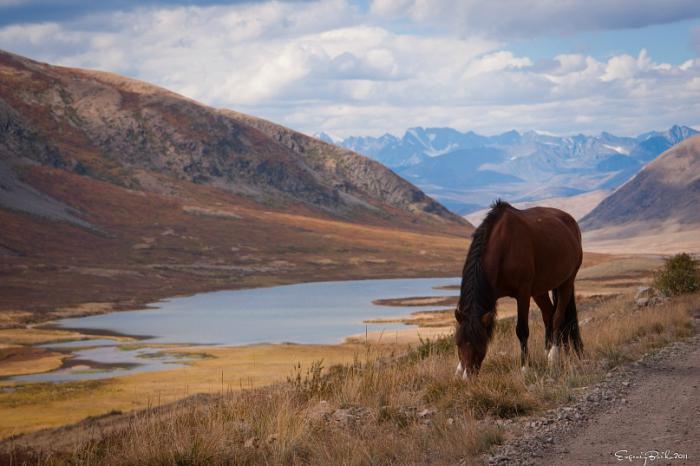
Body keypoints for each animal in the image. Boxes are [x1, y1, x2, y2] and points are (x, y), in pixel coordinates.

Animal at [452, 200, 584, 378]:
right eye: (458, 344)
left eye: (481, 344)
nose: (468, 377)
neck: (504, 246)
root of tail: (571, 223)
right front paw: (458, 369)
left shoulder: (523, 293)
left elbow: (521, 330)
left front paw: (525, 367)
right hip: (540, 290)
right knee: (548, 315)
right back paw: (550, 352)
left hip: (566, 282)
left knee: (558, 317)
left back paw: (553, 356)